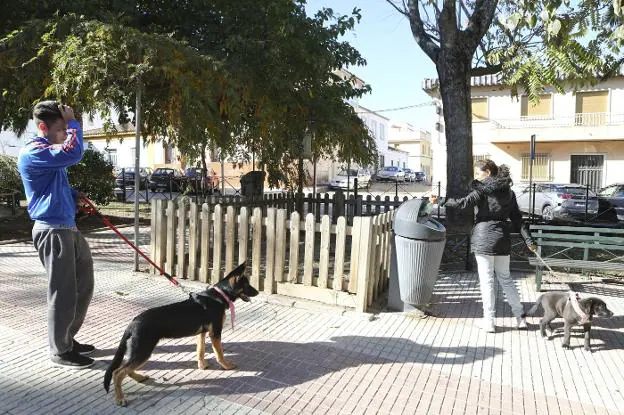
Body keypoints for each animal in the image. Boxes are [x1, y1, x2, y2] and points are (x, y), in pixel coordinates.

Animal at [103, 264, 258, 406]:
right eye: (247, 285)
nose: (257, 292)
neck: (219, 295)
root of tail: (133, 323)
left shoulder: (202, 333)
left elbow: (200, 350)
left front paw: (202, 365)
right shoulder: (215, 333)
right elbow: (219, 353)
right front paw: (226, 366)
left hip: (138, 350)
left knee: (125, 368)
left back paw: (138, 378)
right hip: (143, 351)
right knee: (118, 373)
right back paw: (120, 398)